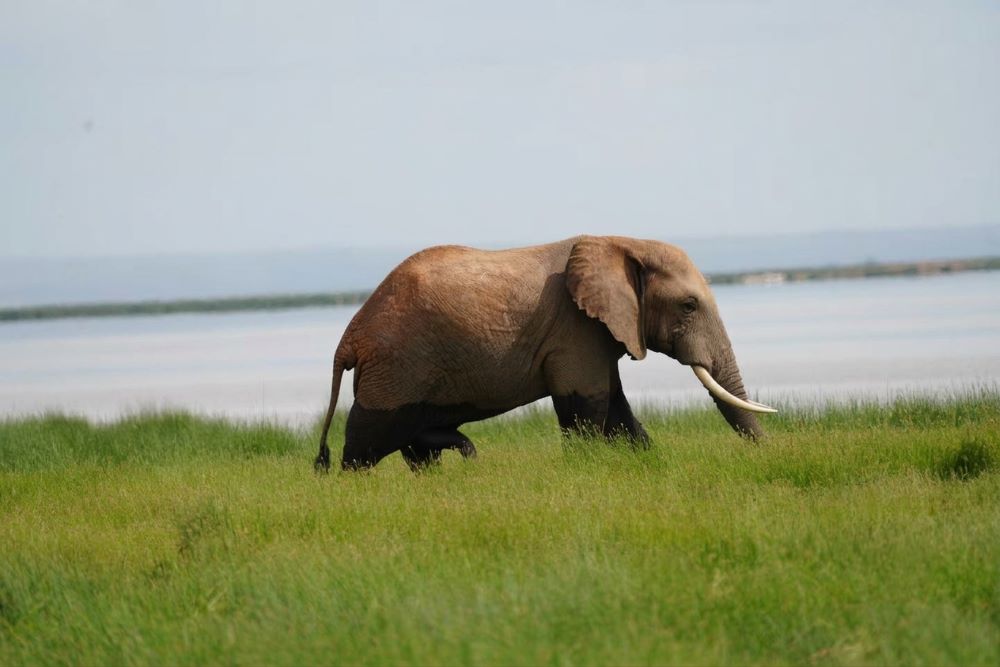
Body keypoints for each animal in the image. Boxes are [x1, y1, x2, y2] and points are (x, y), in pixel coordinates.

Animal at [314, 235, 775, 472]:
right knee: (368, 439)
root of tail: (350, 335)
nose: (768, 452)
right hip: (396, 367)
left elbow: (618, 409)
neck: (620, 242)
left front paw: (646, 460)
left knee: (417, 439)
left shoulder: (597, 332)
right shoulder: (575, 330)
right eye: (689, 306)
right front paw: (587, 469)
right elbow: (587, 406)